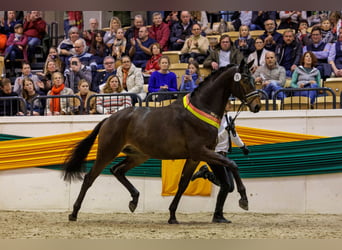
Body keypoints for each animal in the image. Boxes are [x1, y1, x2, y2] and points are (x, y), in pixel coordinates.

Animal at [63, 59, 262, 224]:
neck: (201, 110)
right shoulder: (201, 151)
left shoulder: (197, 156)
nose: (257, 105)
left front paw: (172, 215)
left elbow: (183, 184)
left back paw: (134, 200)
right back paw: (73, 213)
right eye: (245, 80)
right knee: (90, 177)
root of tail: (109, 119)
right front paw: (244, 199)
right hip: (107, 152)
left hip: (138, 155)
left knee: (117, 170)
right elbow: (233, 164)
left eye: (254, 78)